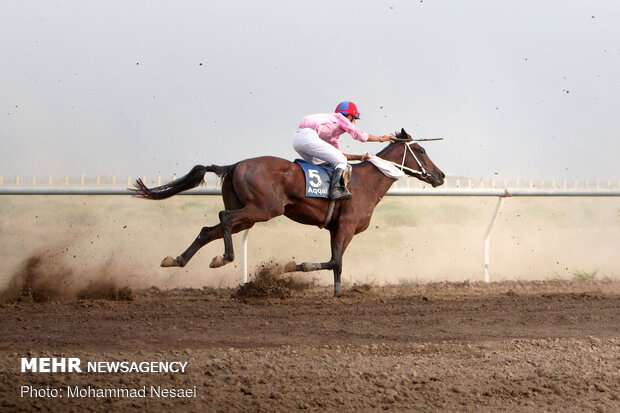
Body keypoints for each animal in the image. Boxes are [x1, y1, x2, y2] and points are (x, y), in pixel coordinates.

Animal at [131, 127, 444, 294]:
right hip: (262, 209)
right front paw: (292, 266)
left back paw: (177, 259)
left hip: (247, 211)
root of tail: (234, 165)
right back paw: (225, 257)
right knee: (224, 219)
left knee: (209, 229)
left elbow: (336, 263)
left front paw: (336, 291)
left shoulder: (336, 228)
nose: (440, 176)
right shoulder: (345, 227)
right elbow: (334, 262)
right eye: (421, 151)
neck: (366, 182)